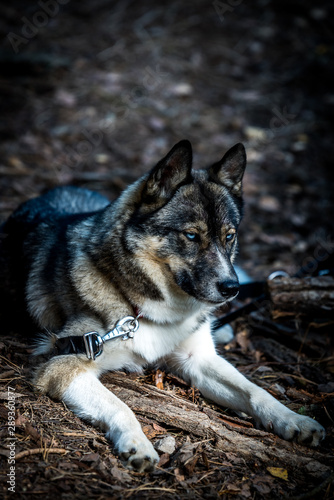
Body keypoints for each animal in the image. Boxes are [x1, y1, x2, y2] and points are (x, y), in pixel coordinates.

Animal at [0, 141, 324, 472]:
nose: (231, 288)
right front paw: (137, 444)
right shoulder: (64, 366)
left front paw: (292, 419)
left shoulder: (198, 360)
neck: (144, 310)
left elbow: (256, 391)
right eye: (191, 235)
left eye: (229, 236)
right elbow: (121, 406)